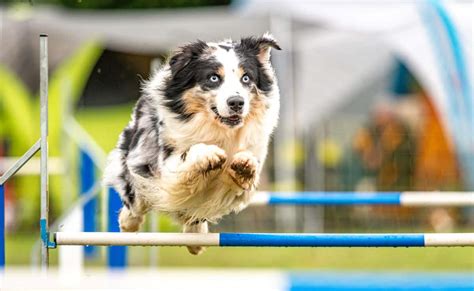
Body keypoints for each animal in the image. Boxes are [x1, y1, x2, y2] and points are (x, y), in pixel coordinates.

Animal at [103, 33, 280, 254]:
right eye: (213, 78)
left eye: (246, 78)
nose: (236, 103)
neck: (219, 129)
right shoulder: (166, 163)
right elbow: (190, 156)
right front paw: (209, 155)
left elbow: (239, 172)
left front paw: (244, 166)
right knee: (135, 199)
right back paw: (128, 223)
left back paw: (195, 239)